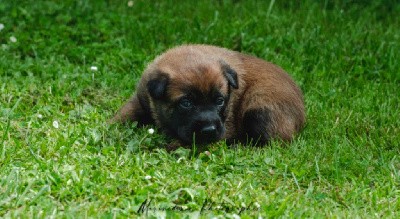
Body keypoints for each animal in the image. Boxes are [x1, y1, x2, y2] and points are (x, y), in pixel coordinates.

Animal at [111, 44, 304, 145]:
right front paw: (108, 130)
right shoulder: (141, 99)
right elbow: (123, 115)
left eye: (219, 101)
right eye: (186, 103)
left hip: (259, 110)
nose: (209, 130)